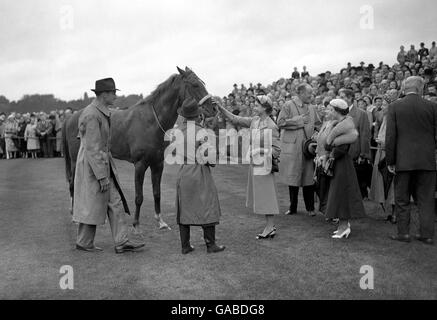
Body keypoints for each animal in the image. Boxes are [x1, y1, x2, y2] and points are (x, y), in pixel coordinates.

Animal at [62, 67, 216, 232]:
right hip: (74, 160)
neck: (150, 122)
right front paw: (135, 224)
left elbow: (157, 193)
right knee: (72, 183)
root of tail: (71, 117)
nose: (213, 108)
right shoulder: (140, 165)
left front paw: (160, 222)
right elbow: (139, 197)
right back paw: (74, 216)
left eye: (202, 83)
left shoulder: (157, 164)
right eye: (195, 85)